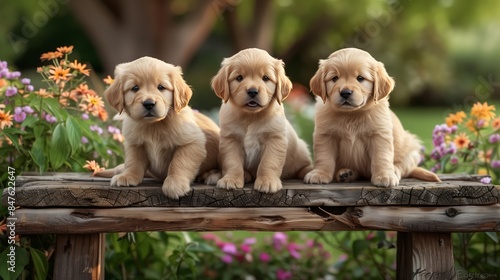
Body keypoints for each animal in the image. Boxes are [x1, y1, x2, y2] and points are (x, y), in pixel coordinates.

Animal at [94, 55, 219, 198]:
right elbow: (133, 162)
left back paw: (212, 175)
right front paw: (128, 176)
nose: (149, 104)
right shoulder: (135, 144)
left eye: (161, 87)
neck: (153, 125)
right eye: (135, 88)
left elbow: (179, 163)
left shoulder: (193, 142)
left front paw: (175, 183)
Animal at [212, 48, 312, 192]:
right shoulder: (230, 139)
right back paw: (246, 174)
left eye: (266, 78)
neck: (251, 117)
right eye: (239, 78)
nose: (252, 91)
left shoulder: (274, 139)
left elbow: (268, 163)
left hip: (301, 149)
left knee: (303, 166)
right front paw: (231, 179)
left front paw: (267, 181)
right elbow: (232, 162)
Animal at [302, 48, 440, 187]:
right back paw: (345, 173)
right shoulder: (325, 135)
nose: (345, 93)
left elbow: (381, 157)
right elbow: (324, 157)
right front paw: (319, 173)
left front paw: (384, 176)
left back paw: (394, 170)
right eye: (334, 78)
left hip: (412, 149)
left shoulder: (379, 135)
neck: (351, 115)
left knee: (404, 167)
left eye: (360, 78)